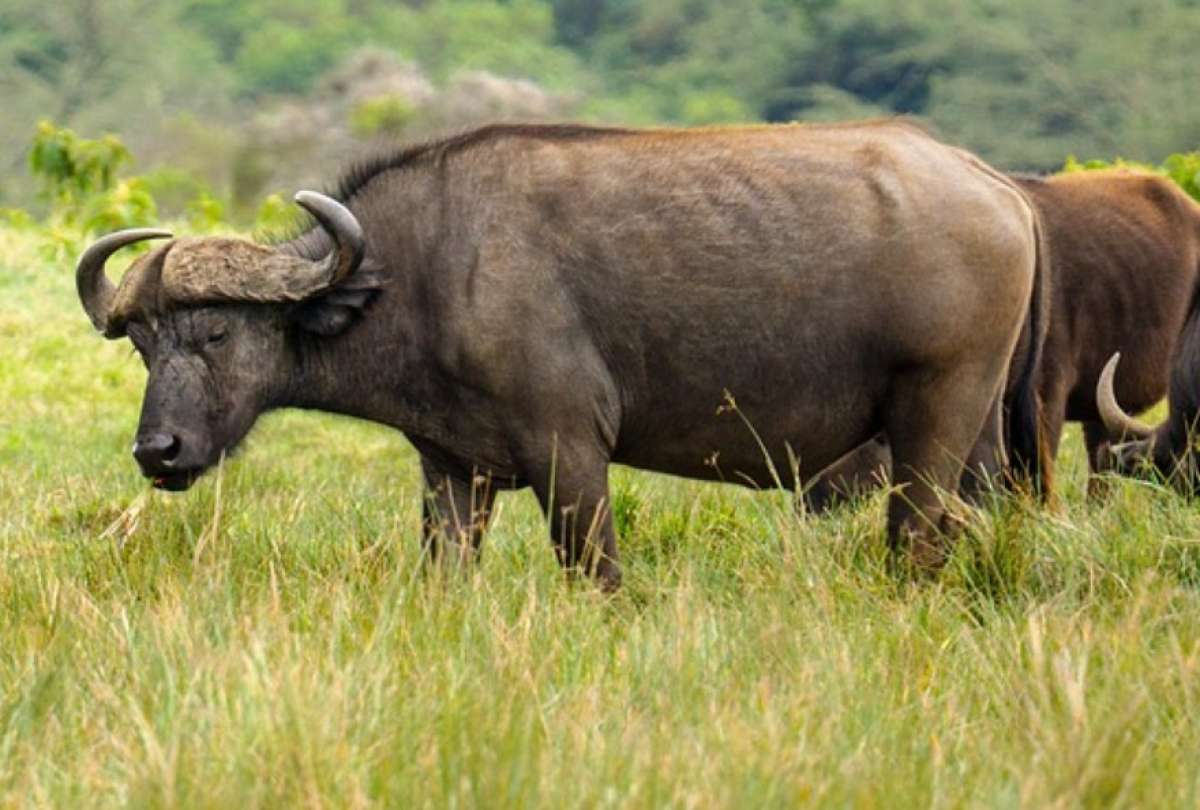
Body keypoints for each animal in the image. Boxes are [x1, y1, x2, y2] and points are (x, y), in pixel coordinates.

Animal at [76, 122, 1045, 587]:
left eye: (216, 331)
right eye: (142, 343)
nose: (157, 451)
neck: (421, 274)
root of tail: (1000, 188)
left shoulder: (569, 453)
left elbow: (597, 574)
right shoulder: (453, 473)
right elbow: (444, 574)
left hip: (934, 422)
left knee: (916, 537)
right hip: (980, 440)